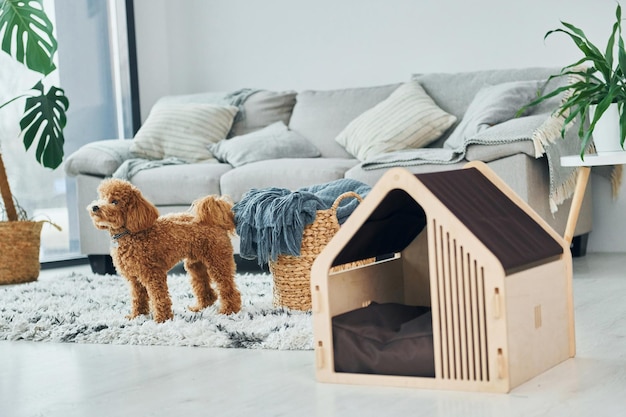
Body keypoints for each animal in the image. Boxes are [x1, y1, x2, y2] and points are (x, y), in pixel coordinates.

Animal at [88, 178, 241, 322]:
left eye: (115, 201)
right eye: (101, 197)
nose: (95, 207)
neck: (130, 233)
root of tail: (215, 221)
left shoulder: (153, 274)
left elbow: (159, 297)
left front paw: (162, 319)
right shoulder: (134, 279)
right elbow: (138, 298)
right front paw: (137, 316)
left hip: (217, 260)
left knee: (228, 287)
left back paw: (229, 310)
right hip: (196, 264)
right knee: (203, 286)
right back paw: (200, 307)